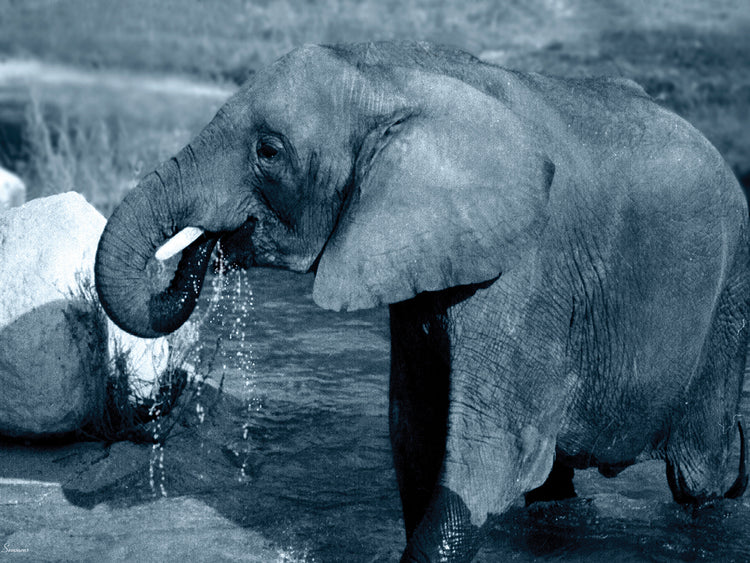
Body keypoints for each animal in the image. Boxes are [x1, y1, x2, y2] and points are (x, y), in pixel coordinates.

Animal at [94, 41, 749, 561]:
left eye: (269, 152)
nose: (207, 246)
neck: (391, 78)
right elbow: (415, 434)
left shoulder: (526, 271)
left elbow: (486, 462)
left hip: (730, 295)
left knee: (701, 472)